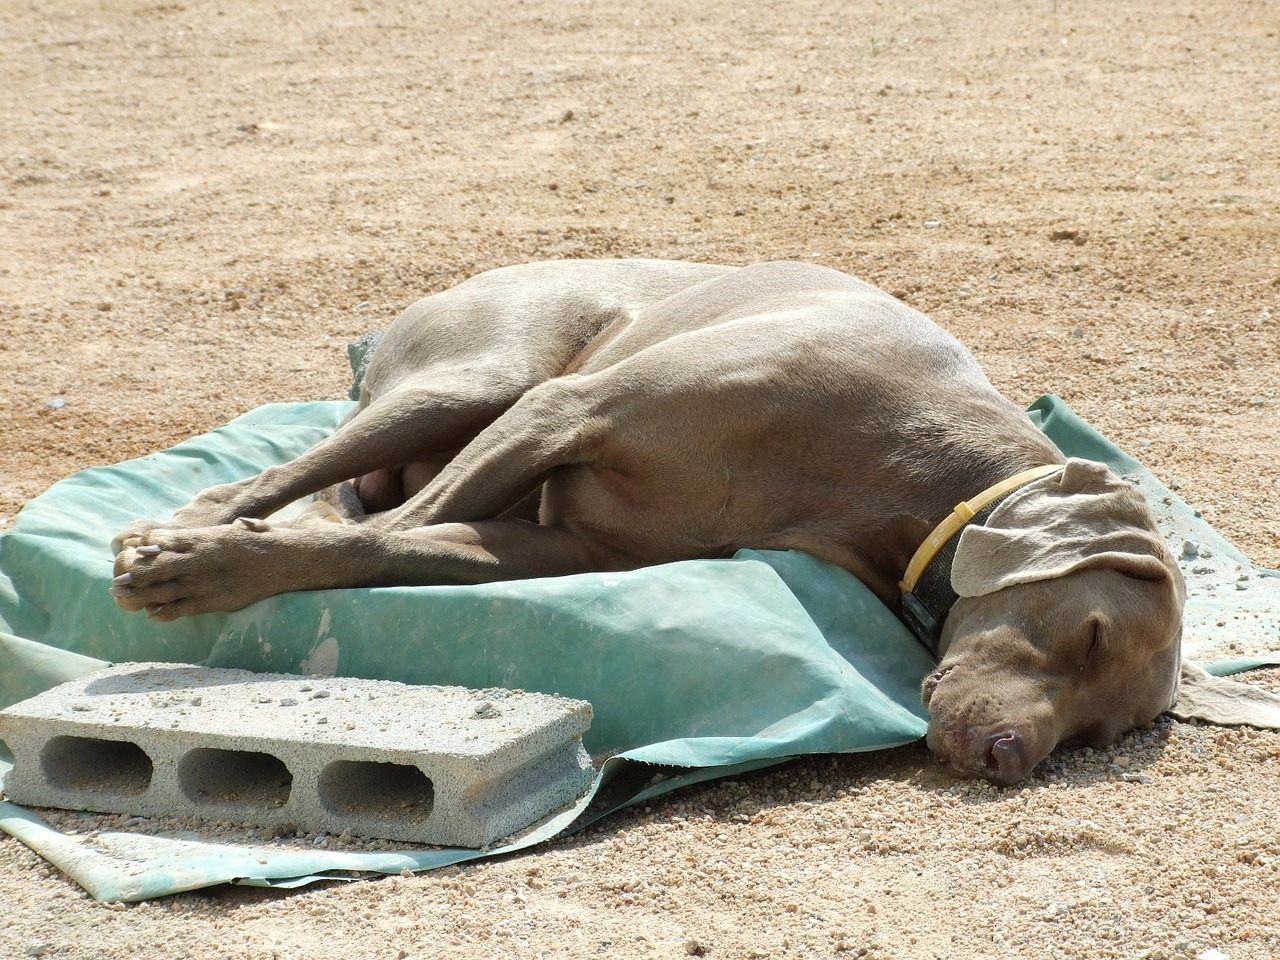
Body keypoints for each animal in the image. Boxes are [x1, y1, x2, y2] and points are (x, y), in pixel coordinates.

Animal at [112, 259, 1280, 783]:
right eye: (1087, 633)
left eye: (1103, 733)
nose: (1008, 756)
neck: (906, 465)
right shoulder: (564, 411)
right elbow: (367, 534)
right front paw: (204, 565)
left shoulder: (563, 542)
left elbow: (403, 543)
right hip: (489, 371)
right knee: (302, 472)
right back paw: (193, 523)